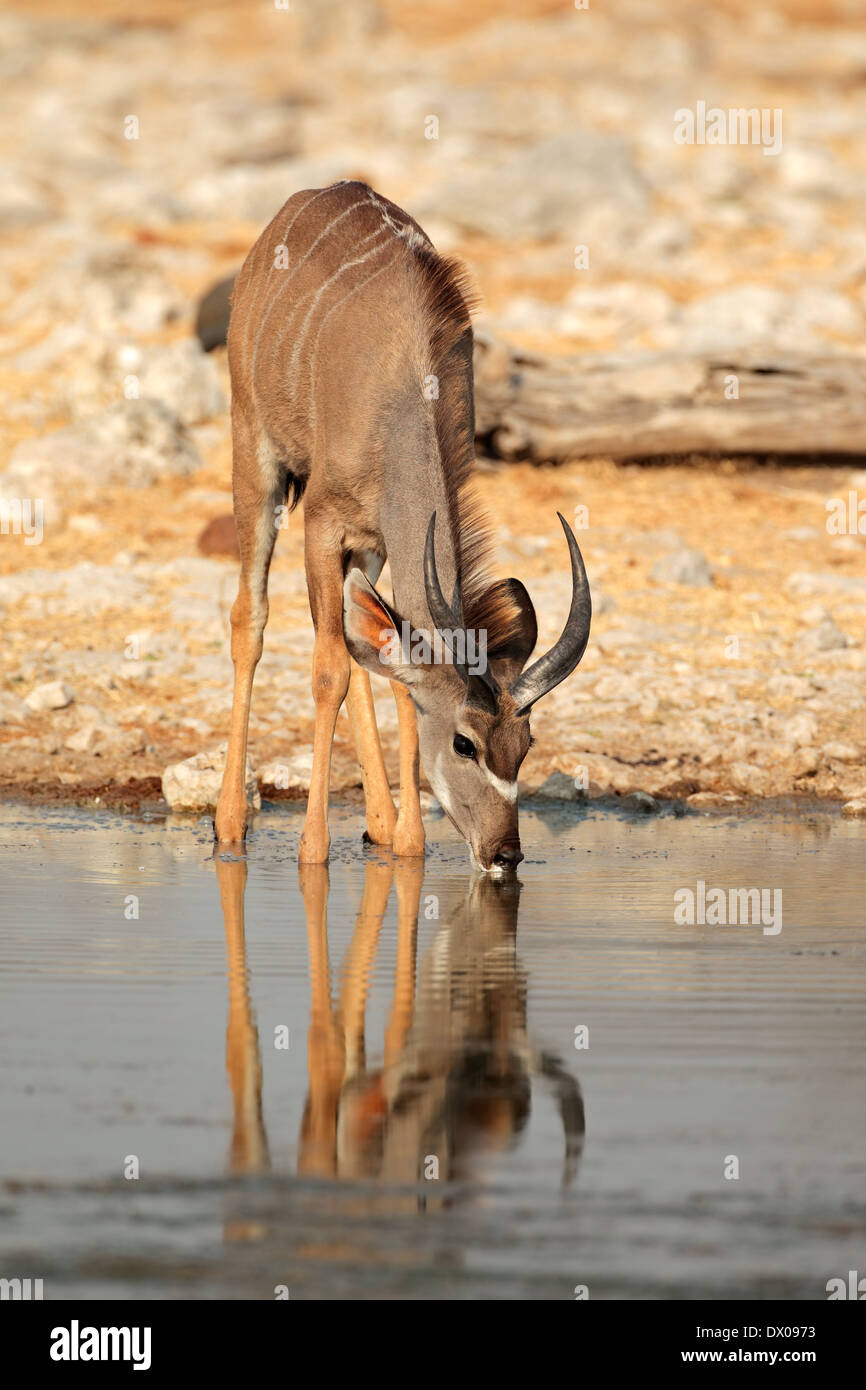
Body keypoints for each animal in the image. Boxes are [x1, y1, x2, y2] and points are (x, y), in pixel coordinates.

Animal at [215, 179, 594, 861]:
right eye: (466, 742)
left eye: (525, 746)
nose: (505, 853)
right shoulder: (322, 523)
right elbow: (328, 670)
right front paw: (313, 848)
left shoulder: (378, 539)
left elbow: (394, 673)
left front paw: (408, 842)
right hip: (254, 457)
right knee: (250, 618)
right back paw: (229, 822)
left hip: (364, 547)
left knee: (362, 645)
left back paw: (381, 822)